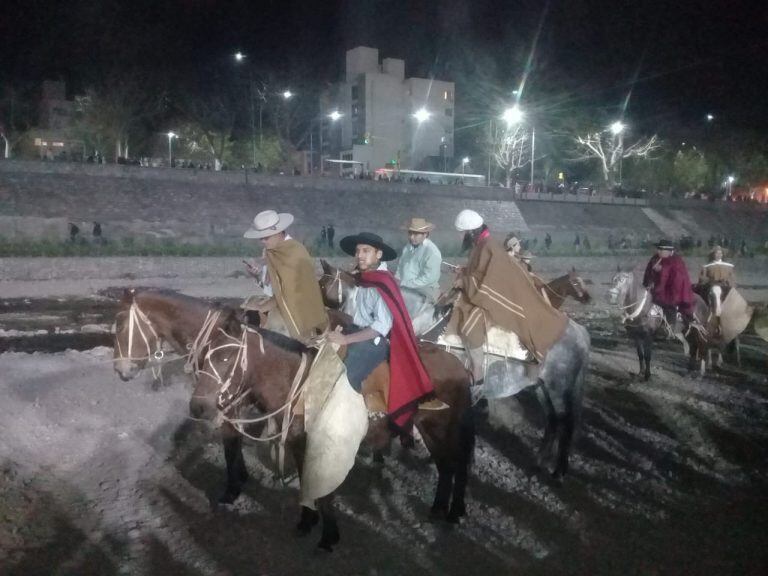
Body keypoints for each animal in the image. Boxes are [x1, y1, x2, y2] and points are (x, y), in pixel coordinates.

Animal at [190, 308, 476, 552]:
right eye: (202, 358)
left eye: (225, 357)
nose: (197, 407)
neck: (300, 385)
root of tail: (460, 366)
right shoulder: (298, 443)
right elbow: (306, 482)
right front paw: (307, 522)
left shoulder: (321, 446)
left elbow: (323, 492)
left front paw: (328, 537)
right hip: (429, 428)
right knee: (446, 466)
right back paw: (438, 509)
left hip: (444, 427)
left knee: (458, 464)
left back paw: (454, 512)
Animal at [318, 260, 588, 482]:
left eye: (323, 284)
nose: (322, 326)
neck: (423, 324)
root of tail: (580, 333)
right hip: (542, 387)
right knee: (552, 422)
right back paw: (539, 463)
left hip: (558, 387)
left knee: (566, 423)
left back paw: (558, 471)